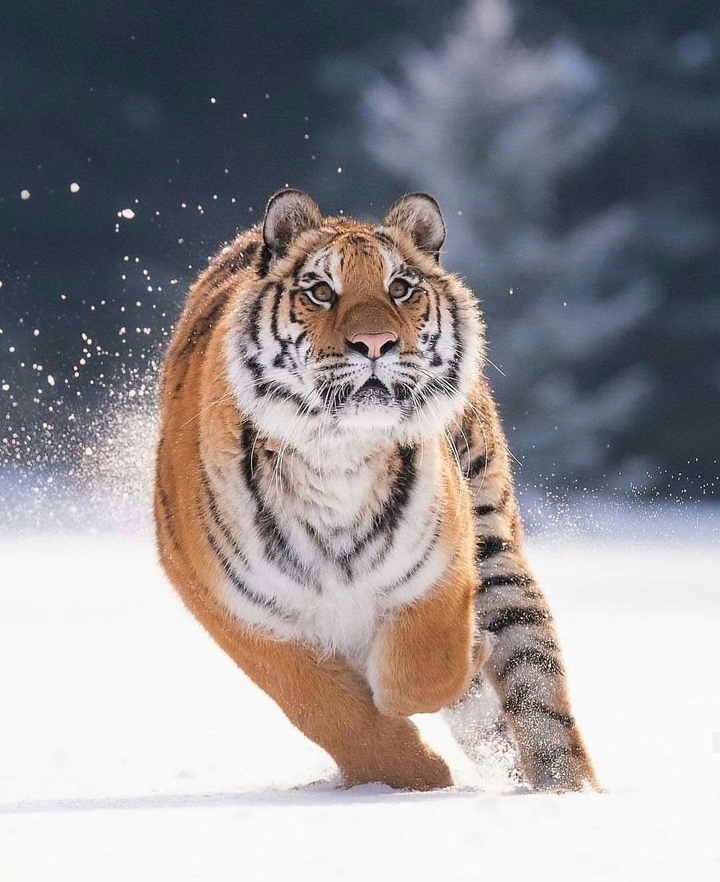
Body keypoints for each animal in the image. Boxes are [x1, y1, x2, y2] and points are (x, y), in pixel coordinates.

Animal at [154, 188, 598, 792]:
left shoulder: (442, 564)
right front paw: (416, 775)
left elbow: (424, 671)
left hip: (497, 545)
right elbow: (326, 709)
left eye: (401, 288)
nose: (374, 343)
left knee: (539, 696)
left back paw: (569, 792)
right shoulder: (235, 607)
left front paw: (464, 657)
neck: (338, 455)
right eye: (321, 290)